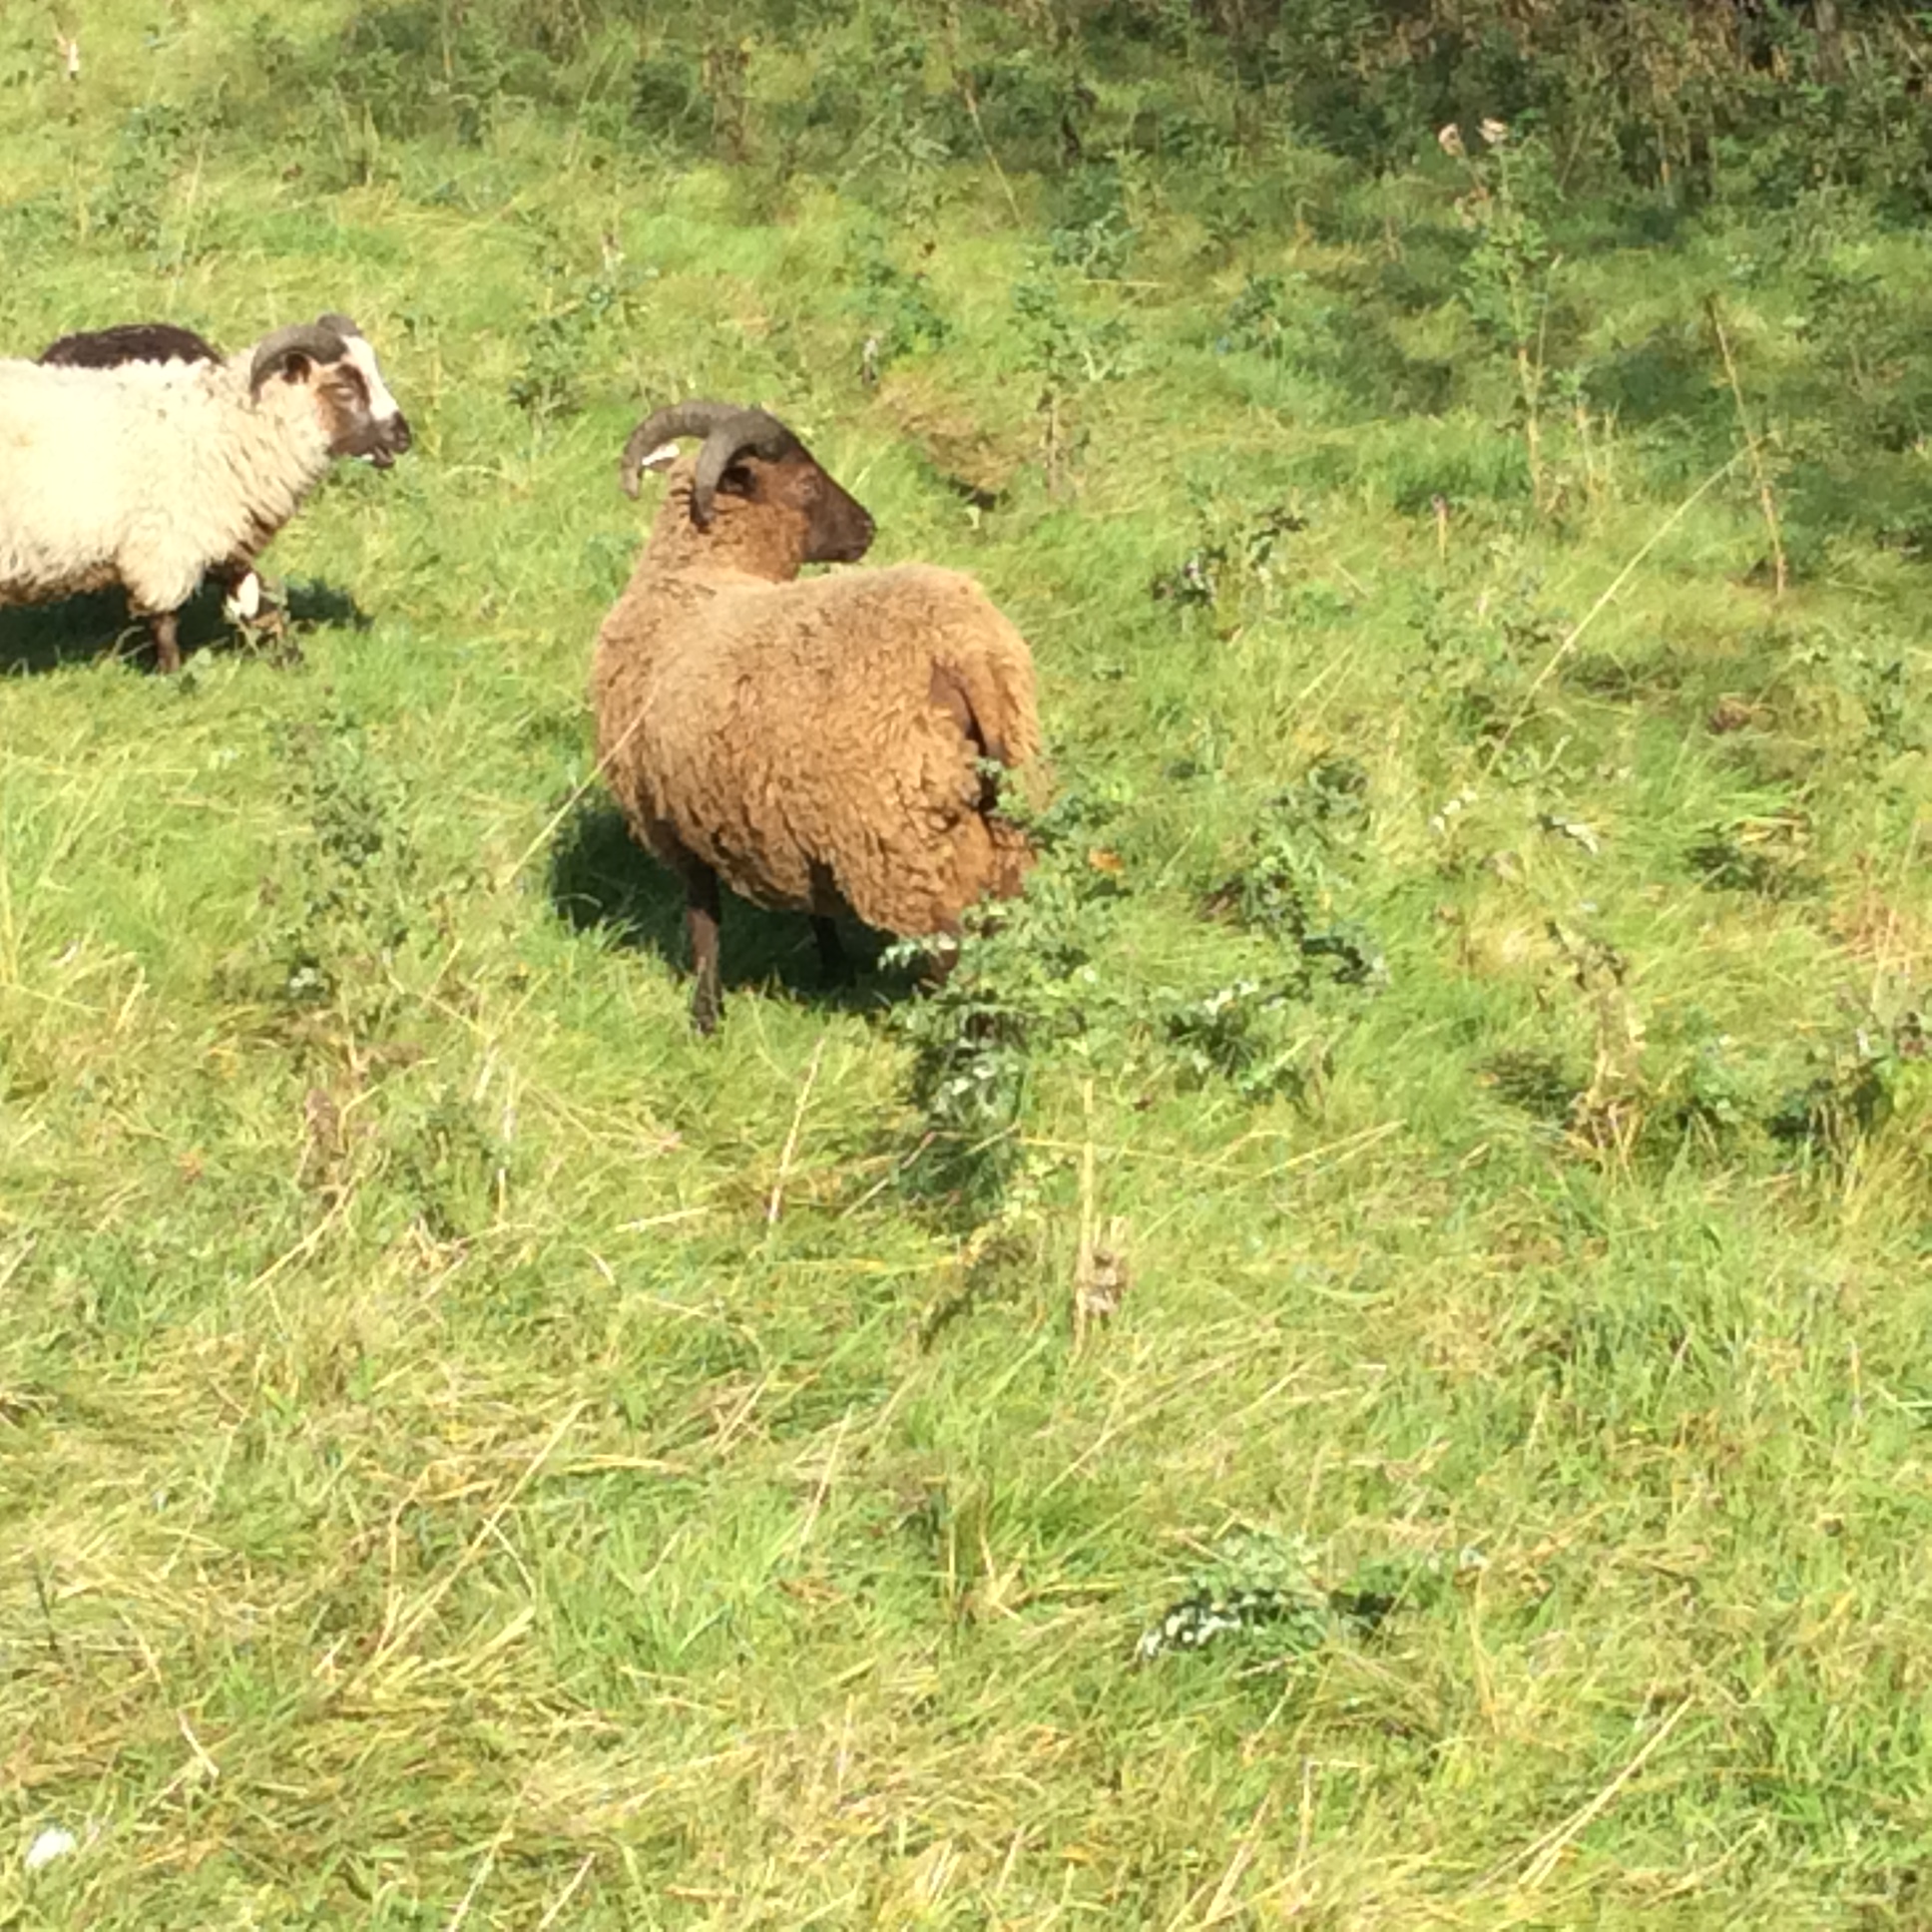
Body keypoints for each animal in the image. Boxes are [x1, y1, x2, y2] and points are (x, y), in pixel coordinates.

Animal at [0, 312, 411, 672]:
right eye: (343, 387)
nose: (403, 436)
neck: (225, 429)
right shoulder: (165, 550)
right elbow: (166, 624)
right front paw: (172, 678)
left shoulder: (220, 541)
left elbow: (261, 605)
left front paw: (291, 660)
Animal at [590, 398, 1042, 1034]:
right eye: (805, 483)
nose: (868, 528)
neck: (697, 573)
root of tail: (962, 651)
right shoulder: (787, 825)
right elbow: (813, 909)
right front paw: (834, 972)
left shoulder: (673, 818)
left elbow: (704, 921)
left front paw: (705, 1014)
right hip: (1001, 814)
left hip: (900, 834)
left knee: (949, 944)